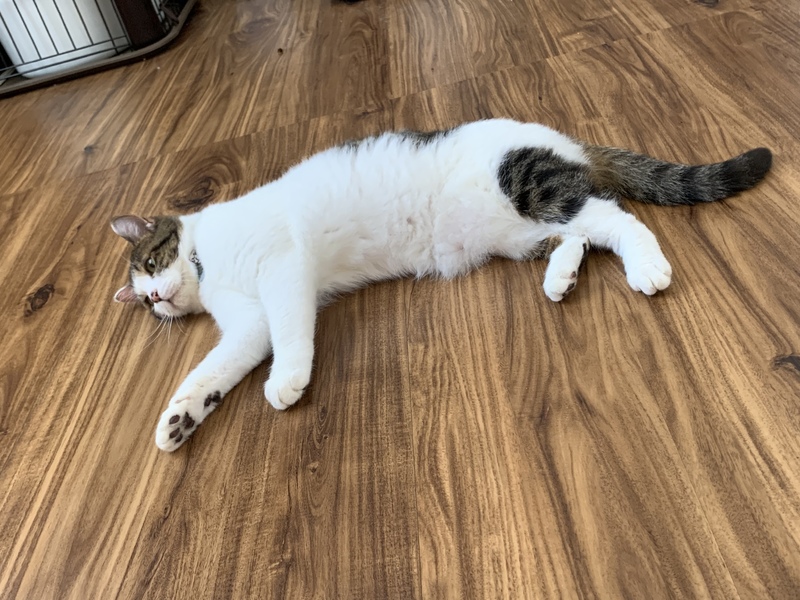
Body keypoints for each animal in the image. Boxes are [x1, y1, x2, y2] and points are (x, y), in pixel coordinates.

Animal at [111, 118, 772, 452]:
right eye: (144, 303)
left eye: (149, 264)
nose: (155, 299)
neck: (208, 264)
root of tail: (563, 142)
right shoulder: (246, 324)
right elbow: (213, 368)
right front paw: (181, 418)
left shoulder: (282, 267)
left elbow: (292, 331)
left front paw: (288, 379)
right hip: (519, 230)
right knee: (580, 234)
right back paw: (560, 275)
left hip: (525, 184)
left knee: (616, 217)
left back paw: (646, 266)